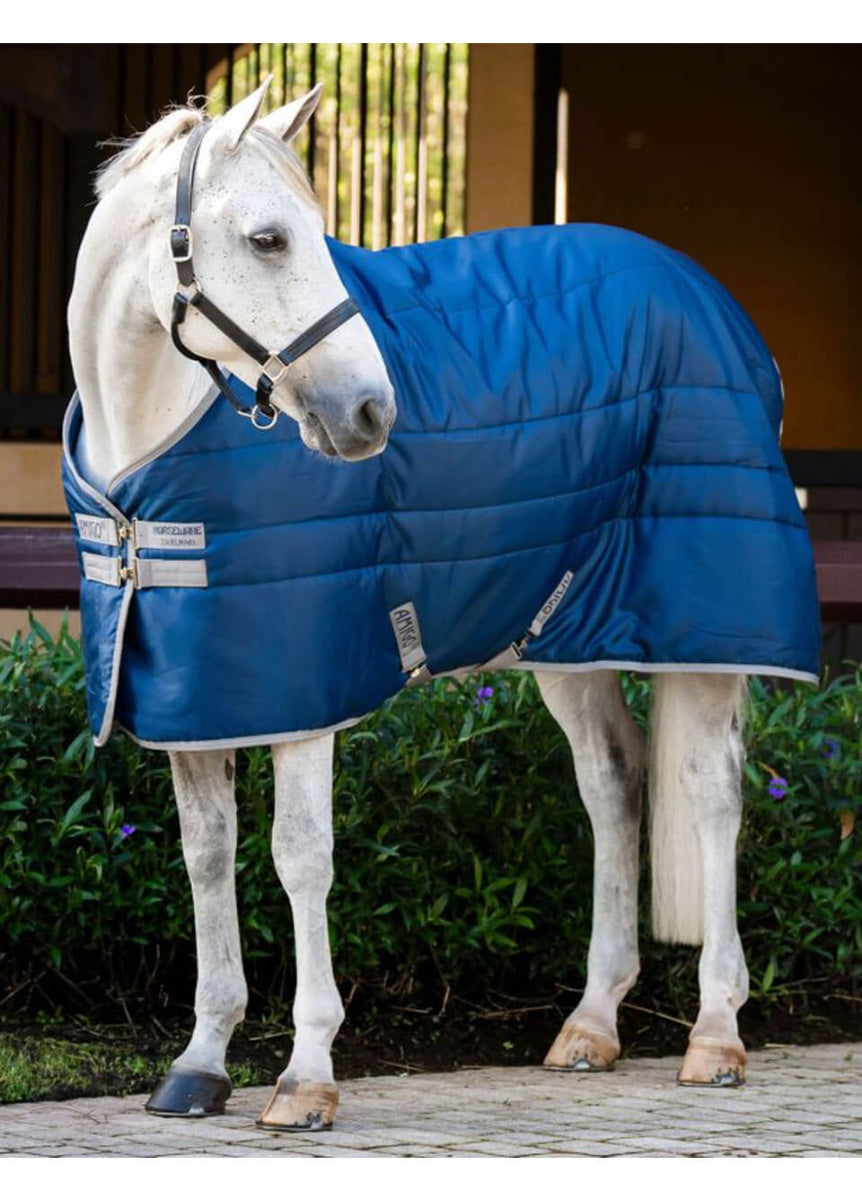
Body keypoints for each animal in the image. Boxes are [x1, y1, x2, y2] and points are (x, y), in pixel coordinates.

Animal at [65, 78, 819, 1131]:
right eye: (267, 239)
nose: (370, 415)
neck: (147, 469)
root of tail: (715, 304)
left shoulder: (306, 692)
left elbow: (299, 856)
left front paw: (305, 1076)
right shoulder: (196, 696)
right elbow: (206, 857)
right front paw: (200, 1063)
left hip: (701, 631)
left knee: (712, 793)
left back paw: (715, 1034)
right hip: (565, 636)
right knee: (613, 782)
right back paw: (591, 1024)